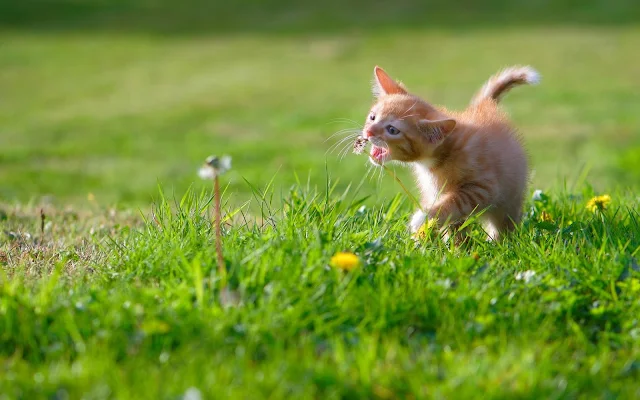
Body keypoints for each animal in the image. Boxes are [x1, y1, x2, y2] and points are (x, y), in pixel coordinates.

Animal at [362, 65, 536, 241]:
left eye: (392, 130)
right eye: (372, 117)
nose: (368, 132)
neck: (439, 158)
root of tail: (485, 105)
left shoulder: (483, 187)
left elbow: (455, 201)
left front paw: (422, 218)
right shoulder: (434, 191)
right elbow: (453, 224)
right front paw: (455, 246)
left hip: (510, 197)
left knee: (504, 221)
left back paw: (499, 242)